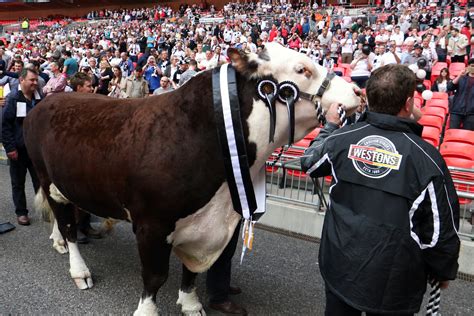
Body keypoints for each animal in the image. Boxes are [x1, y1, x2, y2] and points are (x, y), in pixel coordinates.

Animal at [24, 43, 362, 314]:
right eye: (302, 69)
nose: (356, 92)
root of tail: (47, 101)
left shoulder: (206, 226)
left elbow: (192, 272)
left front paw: (191, 304)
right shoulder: (151, 223)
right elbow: (155, 276)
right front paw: (147, 311)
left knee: (66, 215)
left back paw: (58, 241)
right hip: (44, 174)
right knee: (68, 224)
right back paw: (78, 269)